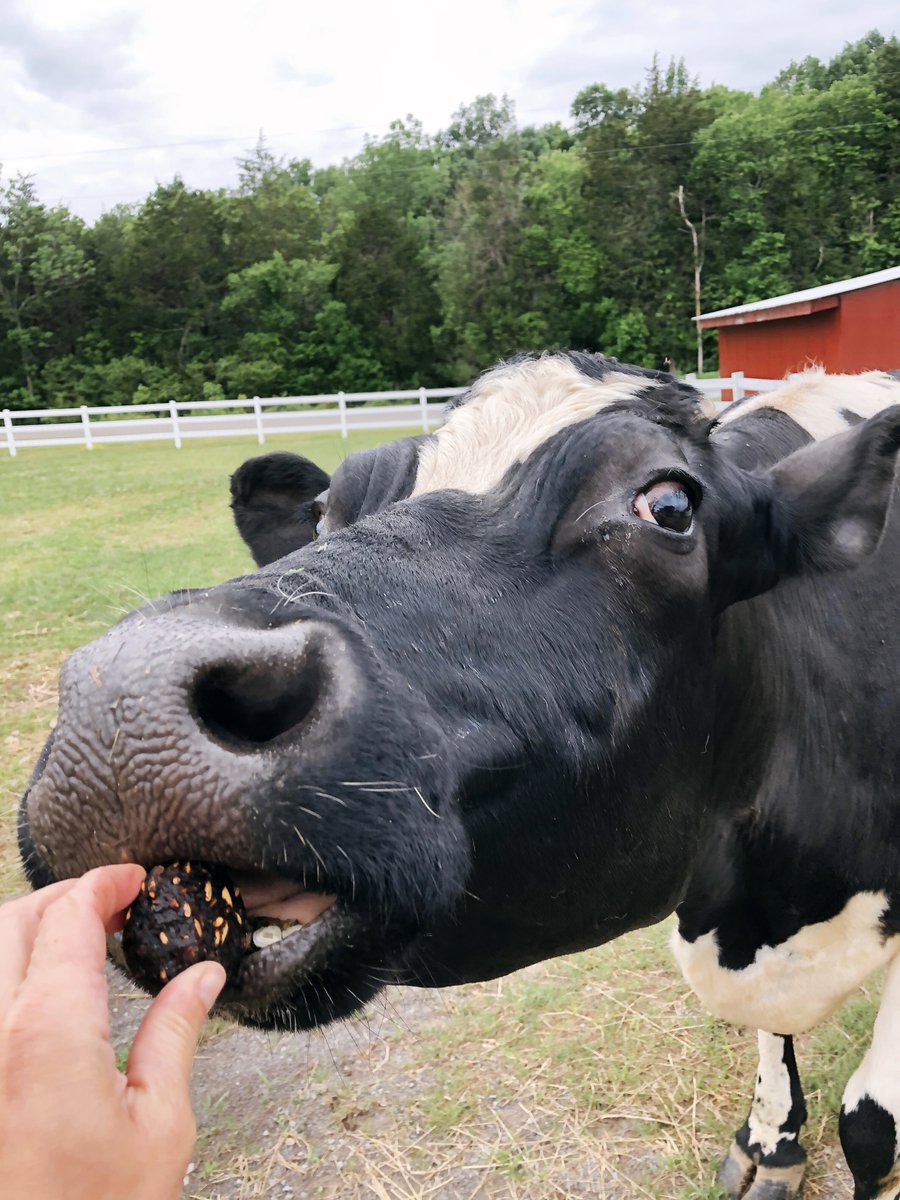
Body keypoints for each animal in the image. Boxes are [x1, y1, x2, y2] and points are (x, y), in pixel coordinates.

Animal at [18, 353, 900, 1199]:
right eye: (325, 509)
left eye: (672, 507)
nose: (125, 698)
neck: (767, 909)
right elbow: (773, 1045)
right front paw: (771, 1145)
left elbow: (868, 1125)